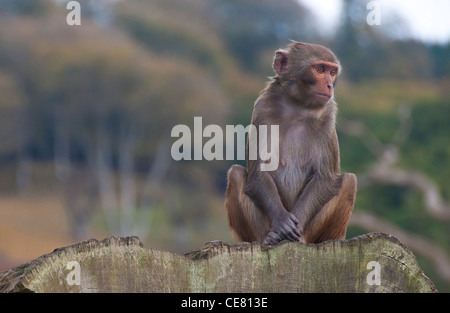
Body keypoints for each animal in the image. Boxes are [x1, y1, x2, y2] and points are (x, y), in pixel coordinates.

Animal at [223, 40, 356, 244]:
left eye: (332, 72)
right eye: (320, 69)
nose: (329, 85)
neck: (298, 108)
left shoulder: (328, 117)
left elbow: (325, 177)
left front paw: (294, 225)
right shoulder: (263, 108)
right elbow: (259, 172)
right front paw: (282, 222)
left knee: (349, 180)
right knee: (236, 174)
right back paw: (268, 238)